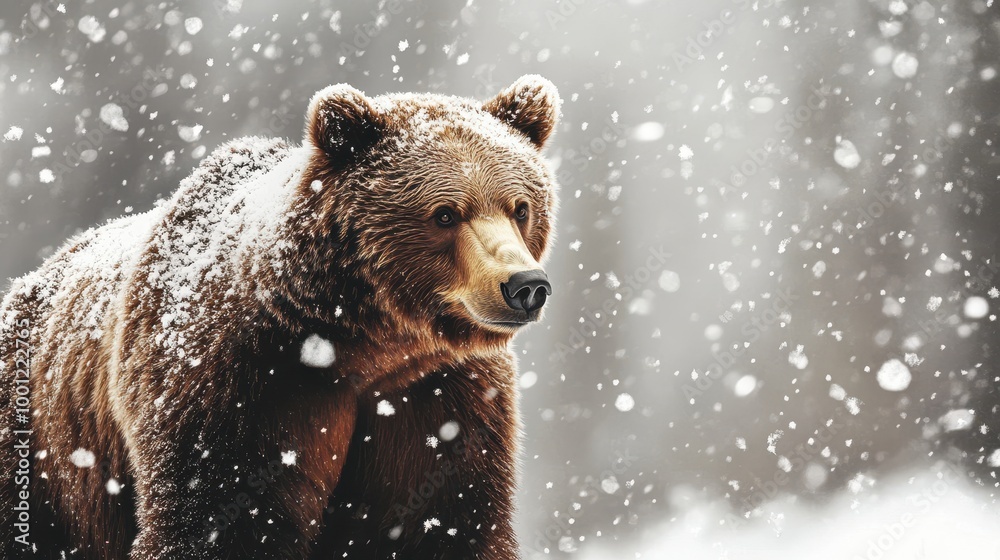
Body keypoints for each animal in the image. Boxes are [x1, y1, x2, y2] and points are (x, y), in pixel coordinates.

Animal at [0, 74, 560, 559]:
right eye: (445, 213)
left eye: (520, 207)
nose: (525, 286)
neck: (359, 347)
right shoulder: (235, 389)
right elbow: (219, 521)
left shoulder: (436, 397)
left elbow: (440, 520)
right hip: (41, 451)